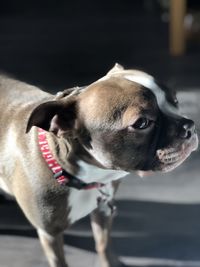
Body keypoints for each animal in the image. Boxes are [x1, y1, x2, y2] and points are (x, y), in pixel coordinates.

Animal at [0, 63, 197, 266]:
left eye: (175, 101)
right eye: (142, 123)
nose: (189, 126)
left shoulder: (103, 212)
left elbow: (103, 245)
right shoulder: (50, 234)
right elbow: (60, 261)